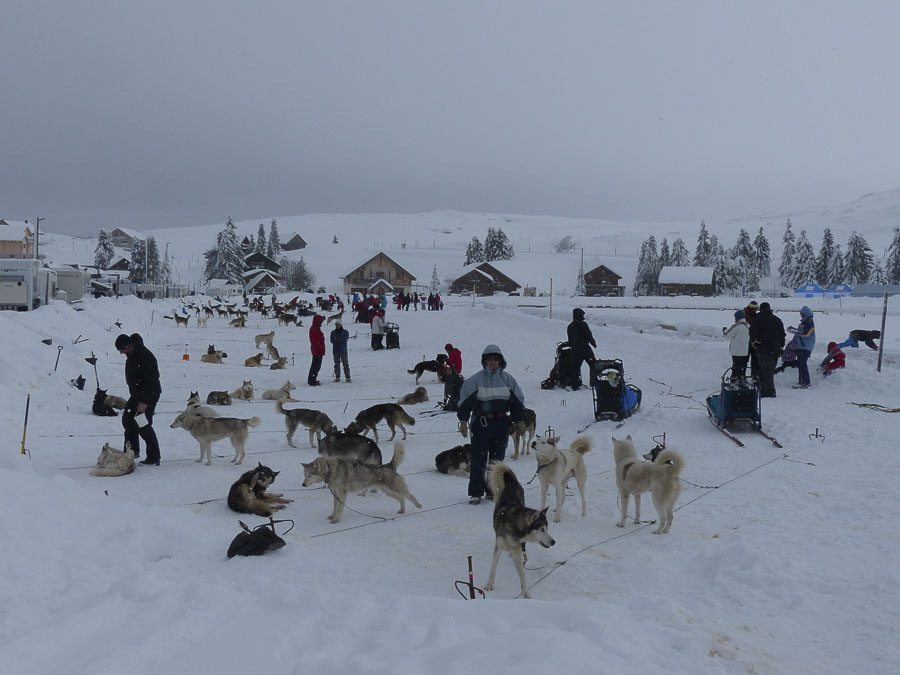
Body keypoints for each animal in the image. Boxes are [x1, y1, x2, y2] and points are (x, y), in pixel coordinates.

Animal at [486, 462, 556, 600]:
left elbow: (522, 574)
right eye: (541, 529)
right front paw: (489, 585)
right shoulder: (498, 546)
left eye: (547, 528)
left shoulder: (518, 550)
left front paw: (525, 592)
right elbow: (493, 568)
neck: (516, 529)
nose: (553, 542)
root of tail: (512, 481)